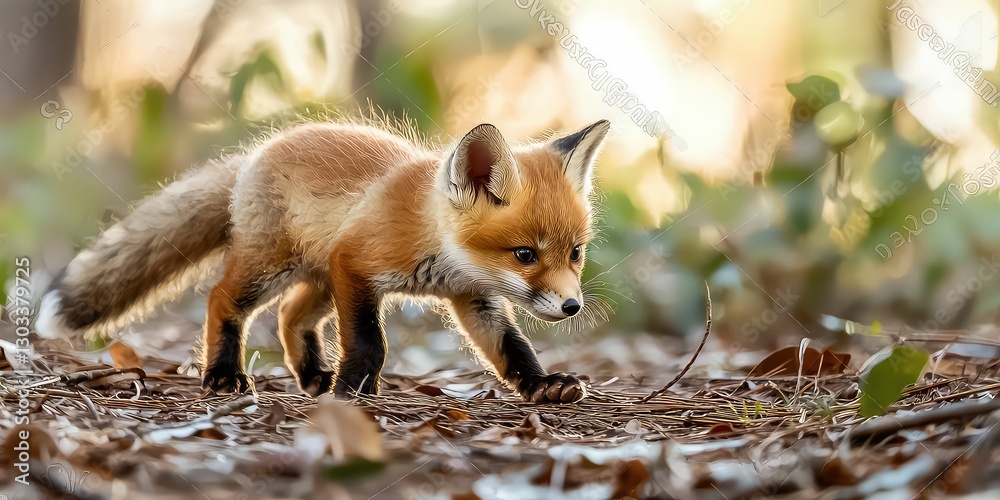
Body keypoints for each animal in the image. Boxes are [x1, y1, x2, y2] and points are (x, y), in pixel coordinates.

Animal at [36, 118, 610, 403]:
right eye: (525, 254)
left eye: (575, 252)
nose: (572, 307)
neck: (433, 239)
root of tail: (253, 155)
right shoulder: (357, 266)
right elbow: (370, 343)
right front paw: (352, 389)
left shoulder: (474, 297)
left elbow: (513, 348)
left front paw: (542, 385)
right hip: (277, 268)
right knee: (223, 301)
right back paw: (224, 375)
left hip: (318, 278)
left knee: (289, 316)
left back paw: (311, 375)